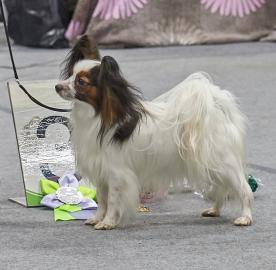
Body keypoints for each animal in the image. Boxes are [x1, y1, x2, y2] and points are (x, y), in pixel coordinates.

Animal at [55, 35, 252, 230]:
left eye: (81, 82)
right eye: (70, 75)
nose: (57, 86)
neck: (98, 115)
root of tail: (215, 105)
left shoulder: (117, 174)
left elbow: (111, 201)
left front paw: (108, 222)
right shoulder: (102, 173)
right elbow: (102, 201)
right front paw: (97, 218)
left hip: (224, 163)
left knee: (243, 189)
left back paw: (245, 217)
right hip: (211, 165)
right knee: (221, 188)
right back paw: (214, 210)